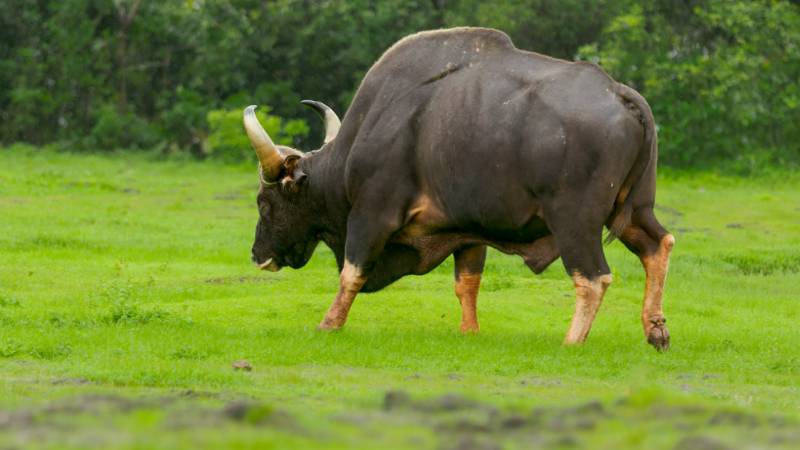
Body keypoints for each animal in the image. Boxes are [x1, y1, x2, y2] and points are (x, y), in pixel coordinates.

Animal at [244, 27, 676, 352]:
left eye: (264, 204)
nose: (256, 254)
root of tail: (618, 92)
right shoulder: (468, 230)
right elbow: (466, 283)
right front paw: (469, 331)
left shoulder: (370, 216)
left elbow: (352, 274)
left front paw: (329, 324)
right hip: (634, 210)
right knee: (658, 244)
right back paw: (655, 328)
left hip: (575, 223)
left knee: (593, 277)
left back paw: (572, 340)